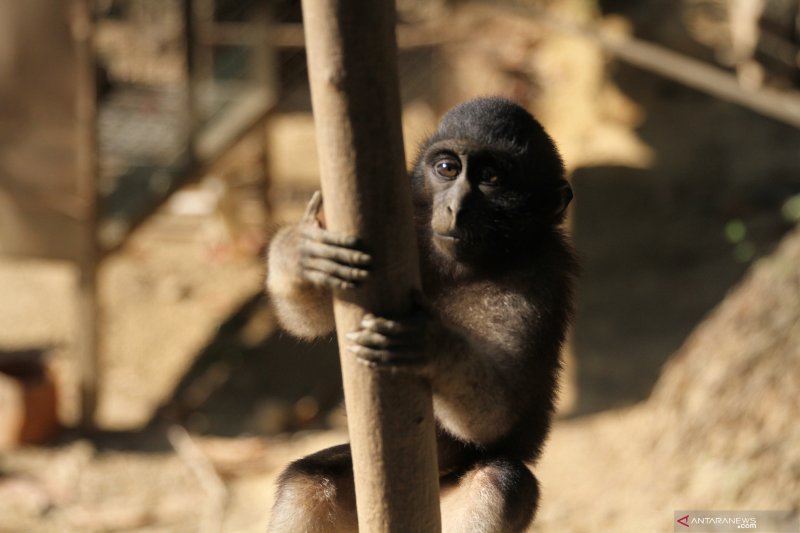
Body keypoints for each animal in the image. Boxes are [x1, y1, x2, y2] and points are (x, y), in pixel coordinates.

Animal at [268, 97, 576, 528]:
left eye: (491, 177)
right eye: (447, 168)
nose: (454, 208)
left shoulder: (533, 285)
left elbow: (499, 415)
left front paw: (430, 346)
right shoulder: (406, 232)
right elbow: (310, 317)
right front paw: (303, 252)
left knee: (499, 482)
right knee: (307, 481)